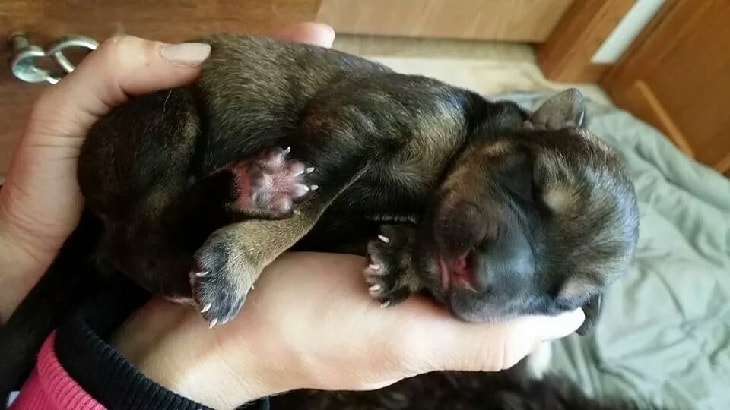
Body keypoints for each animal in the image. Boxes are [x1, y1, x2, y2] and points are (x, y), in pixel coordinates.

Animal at [0, 32, 636, 400]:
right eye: (530, 184)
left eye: (558, 299)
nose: (474, 274)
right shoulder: (357, 126)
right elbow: (312, 205)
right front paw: (244, 257)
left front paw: (404, 264)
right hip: (168, 115)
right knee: (139, 230)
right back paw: (254, 192)